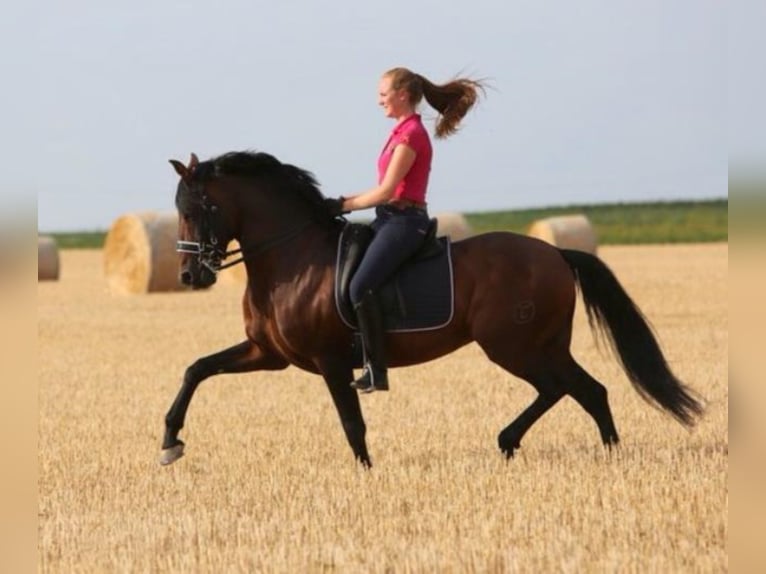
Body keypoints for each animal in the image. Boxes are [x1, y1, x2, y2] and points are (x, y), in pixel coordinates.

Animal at [159, 150, 704, 468]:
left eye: (198, 208)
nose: (189, 277)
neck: (291, 257)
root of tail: (554, 252)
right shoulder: (268, 353)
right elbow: (195, 369)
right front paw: (169, 442)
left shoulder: (330, 361)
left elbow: (351, 422)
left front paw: (365, 473)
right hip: (541, 344)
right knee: (587, 390)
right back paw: (601, 453)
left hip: (513, 345)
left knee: (564, 388)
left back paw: (516, 441)